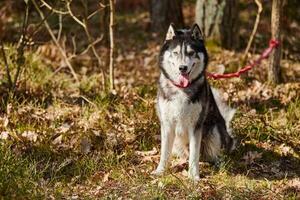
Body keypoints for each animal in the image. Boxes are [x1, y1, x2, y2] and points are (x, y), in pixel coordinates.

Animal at [154, 23, 236, 181]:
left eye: (191, 53)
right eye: (175, 53)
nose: (182, 68)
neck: (181, 89)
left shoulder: (196, 125)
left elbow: (194, 154)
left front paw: (194, 176)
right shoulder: (167, 124)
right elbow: (164, 152)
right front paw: (160, 171)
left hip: (214, 131)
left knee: (215, 154)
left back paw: (219, 163)